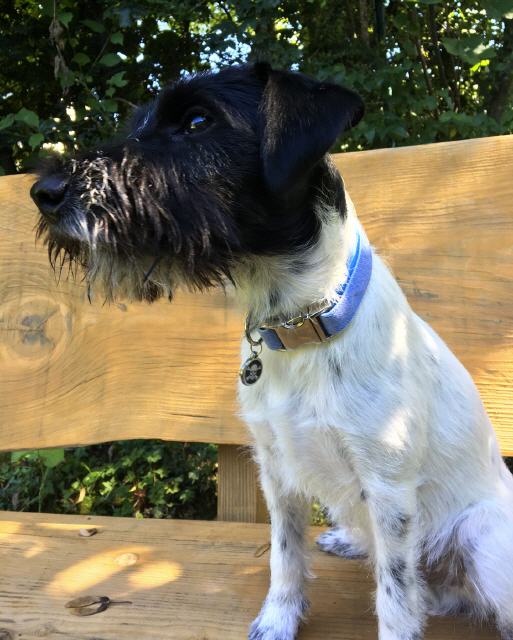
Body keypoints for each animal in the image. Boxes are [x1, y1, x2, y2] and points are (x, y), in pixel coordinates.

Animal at [30, 62, 513, 640]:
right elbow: (285, 555)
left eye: (197, 121)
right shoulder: (277, 468)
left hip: (481, 540)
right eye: (138, 122)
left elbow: (395, 598)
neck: (300, 327)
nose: (44, 191)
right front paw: (278, 618)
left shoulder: (389, 488)